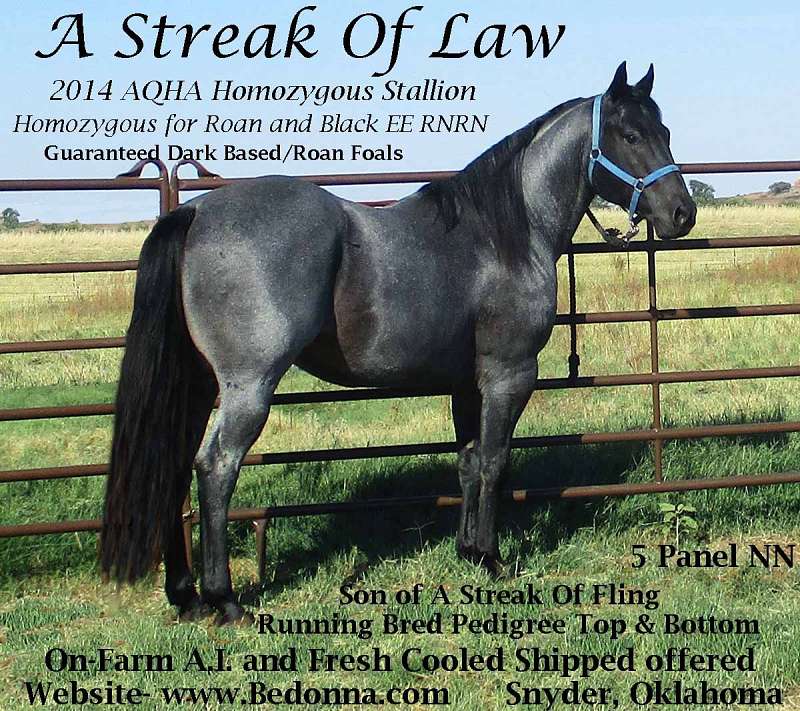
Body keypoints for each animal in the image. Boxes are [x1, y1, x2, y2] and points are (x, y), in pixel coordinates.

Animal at [101, 62, 696, 625]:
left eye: (666, 130)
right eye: (631, 135)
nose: (682, 214)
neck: (503, 234)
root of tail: (194, 211)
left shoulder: (467, 383)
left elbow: (468, 461)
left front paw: (469, 552)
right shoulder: (508, 374)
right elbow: (496, 460)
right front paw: (494, 558)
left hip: (198, 383)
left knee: (174, 465)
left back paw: (186, 596)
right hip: (248, 386)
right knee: (216, 467)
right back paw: (224, 600)